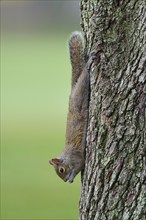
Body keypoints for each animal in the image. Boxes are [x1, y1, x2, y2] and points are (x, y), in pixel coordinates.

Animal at [49, 31, 96, 182]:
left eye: (61, 170)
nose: (64, 181)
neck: (67, 157)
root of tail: (73, 88)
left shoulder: (78, 158)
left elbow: (79, 165)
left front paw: (71, 177)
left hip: (80, 93)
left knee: (85, 78)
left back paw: (88, 64)